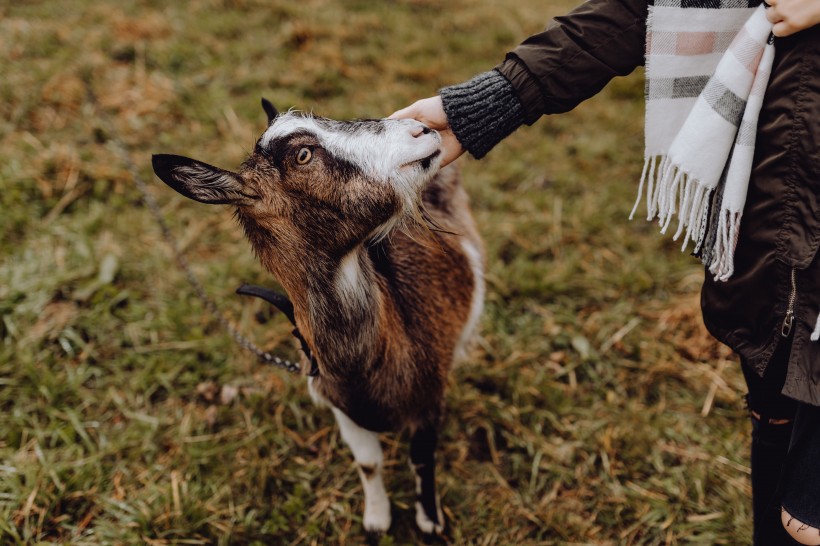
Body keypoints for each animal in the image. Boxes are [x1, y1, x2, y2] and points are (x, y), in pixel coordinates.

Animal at [151, 100, 484, 536]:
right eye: (304, 155)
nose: (421, 129)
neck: (364, 367)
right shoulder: (341, 410)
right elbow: (368, 463)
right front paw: (376, 520)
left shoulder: (429, 398)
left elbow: (422, 460)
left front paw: (430, 522)